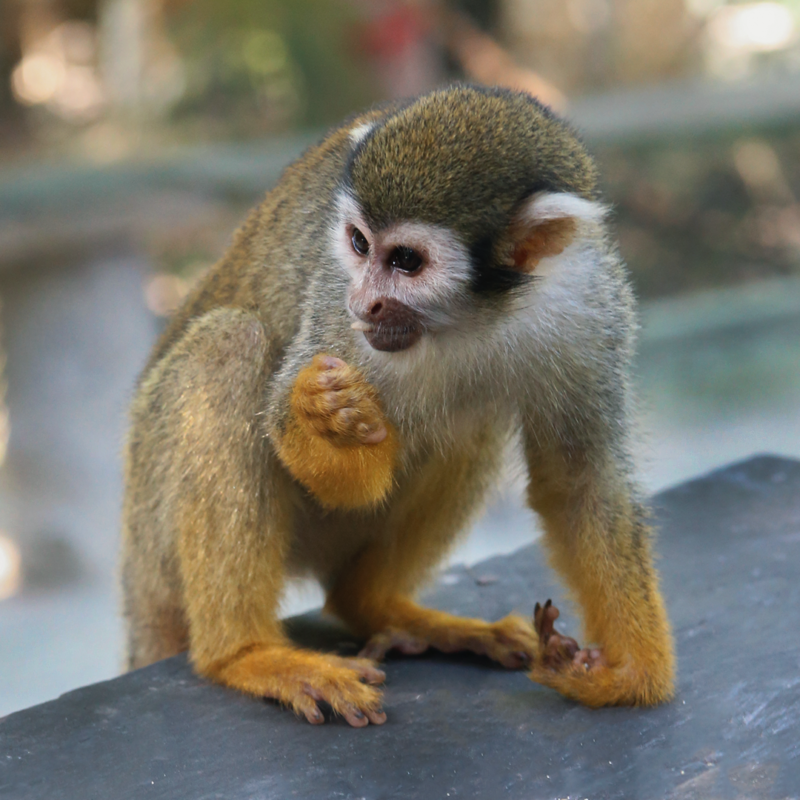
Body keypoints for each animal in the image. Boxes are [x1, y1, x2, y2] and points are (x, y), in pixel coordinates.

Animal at [121, 84, 675, 728]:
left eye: (406, 261)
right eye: (359, 245)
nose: (364, 302)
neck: (477, 316)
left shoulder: (588, 301)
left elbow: (579, 480)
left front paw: (627, 674)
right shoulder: (335, 307)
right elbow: (318, 457)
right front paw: (324, 420)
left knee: (472, 418)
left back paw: (379, 608)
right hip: (155, 522)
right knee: (226, 346)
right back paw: (244, 653)